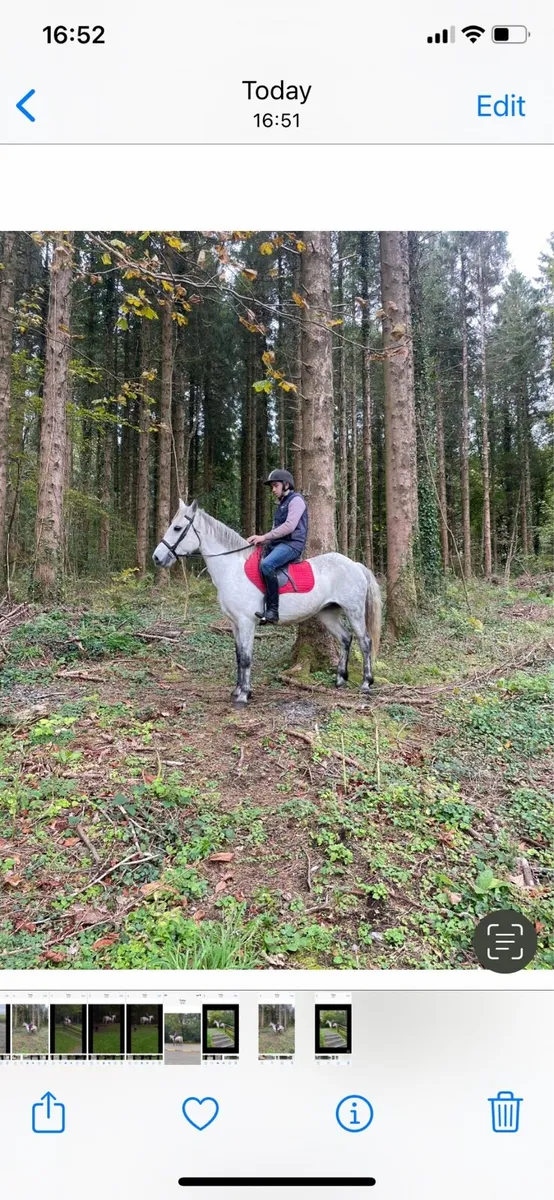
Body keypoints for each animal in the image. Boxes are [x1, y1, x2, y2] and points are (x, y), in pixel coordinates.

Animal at [153, 500, 382, 706]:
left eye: (177, 528)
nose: (156, 558)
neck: (232, 570)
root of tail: (355, 564)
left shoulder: (246, 622)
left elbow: (246, 658)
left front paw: (244, 695)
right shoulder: (234, 624)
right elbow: (239, 656)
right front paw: (237, 691)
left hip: (354, 610)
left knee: (365, 642)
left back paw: (366, 683)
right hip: (328, 613)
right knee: (345, 639)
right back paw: (340, 679)